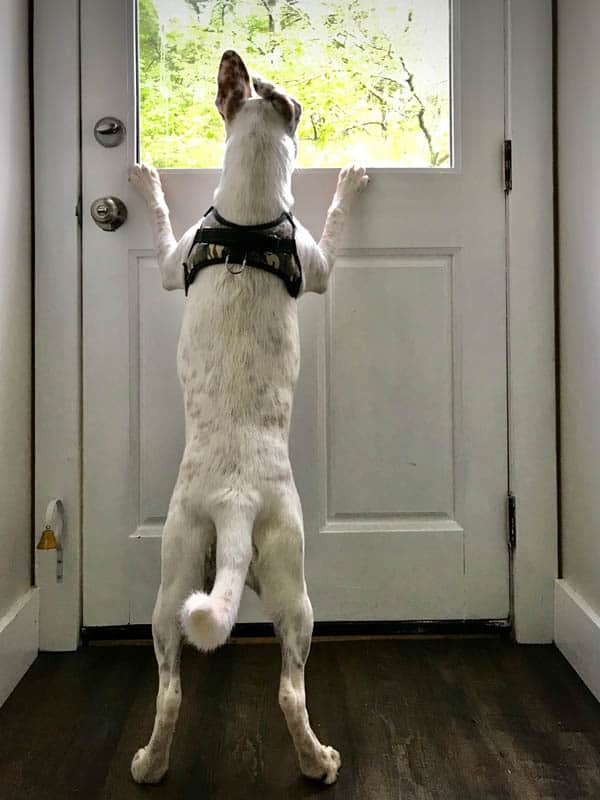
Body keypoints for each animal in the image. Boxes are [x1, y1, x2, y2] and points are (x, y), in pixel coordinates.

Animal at [129, 50, 368, 788]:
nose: (236, 58)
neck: (248, 212)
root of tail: (234, 503)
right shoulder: (318, 265)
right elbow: (336, 227)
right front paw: (351, 177)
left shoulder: (172, 264)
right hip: (295, 580)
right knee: (290, 691)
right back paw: (319, 762)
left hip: (173, 574)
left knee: (169, 690)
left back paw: (150, 764)